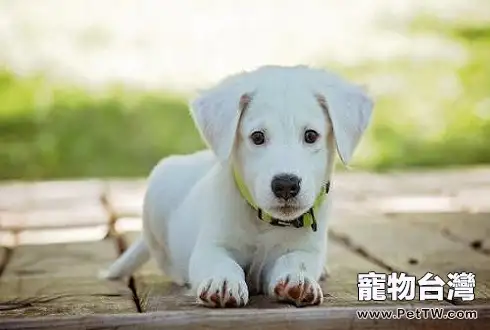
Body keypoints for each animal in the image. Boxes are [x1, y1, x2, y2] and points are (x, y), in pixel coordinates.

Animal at [102, 65, 372, 308]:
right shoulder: (210, 246)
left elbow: (296, 260)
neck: (264, 223)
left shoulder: (306, 249)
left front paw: (298, 279)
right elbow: (222, 262)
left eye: (311, 136)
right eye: (257, 137)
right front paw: (222, 282)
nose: (286, 185)